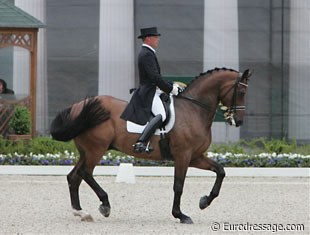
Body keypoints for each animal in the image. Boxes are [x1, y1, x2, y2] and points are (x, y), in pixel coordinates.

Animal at [49, 66, 252, 224]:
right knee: (85, 173)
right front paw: (180, 215)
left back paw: (81, 212)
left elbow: (220, 171)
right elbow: (178, 186)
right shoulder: (183, 156)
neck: (194, 109)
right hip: (96, 149)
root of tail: (78, 106)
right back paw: (105, 205)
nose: (239, 121)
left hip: (86, 151)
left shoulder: (195, 157)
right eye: (241, 92)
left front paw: (204, 202)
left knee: (74, 176)